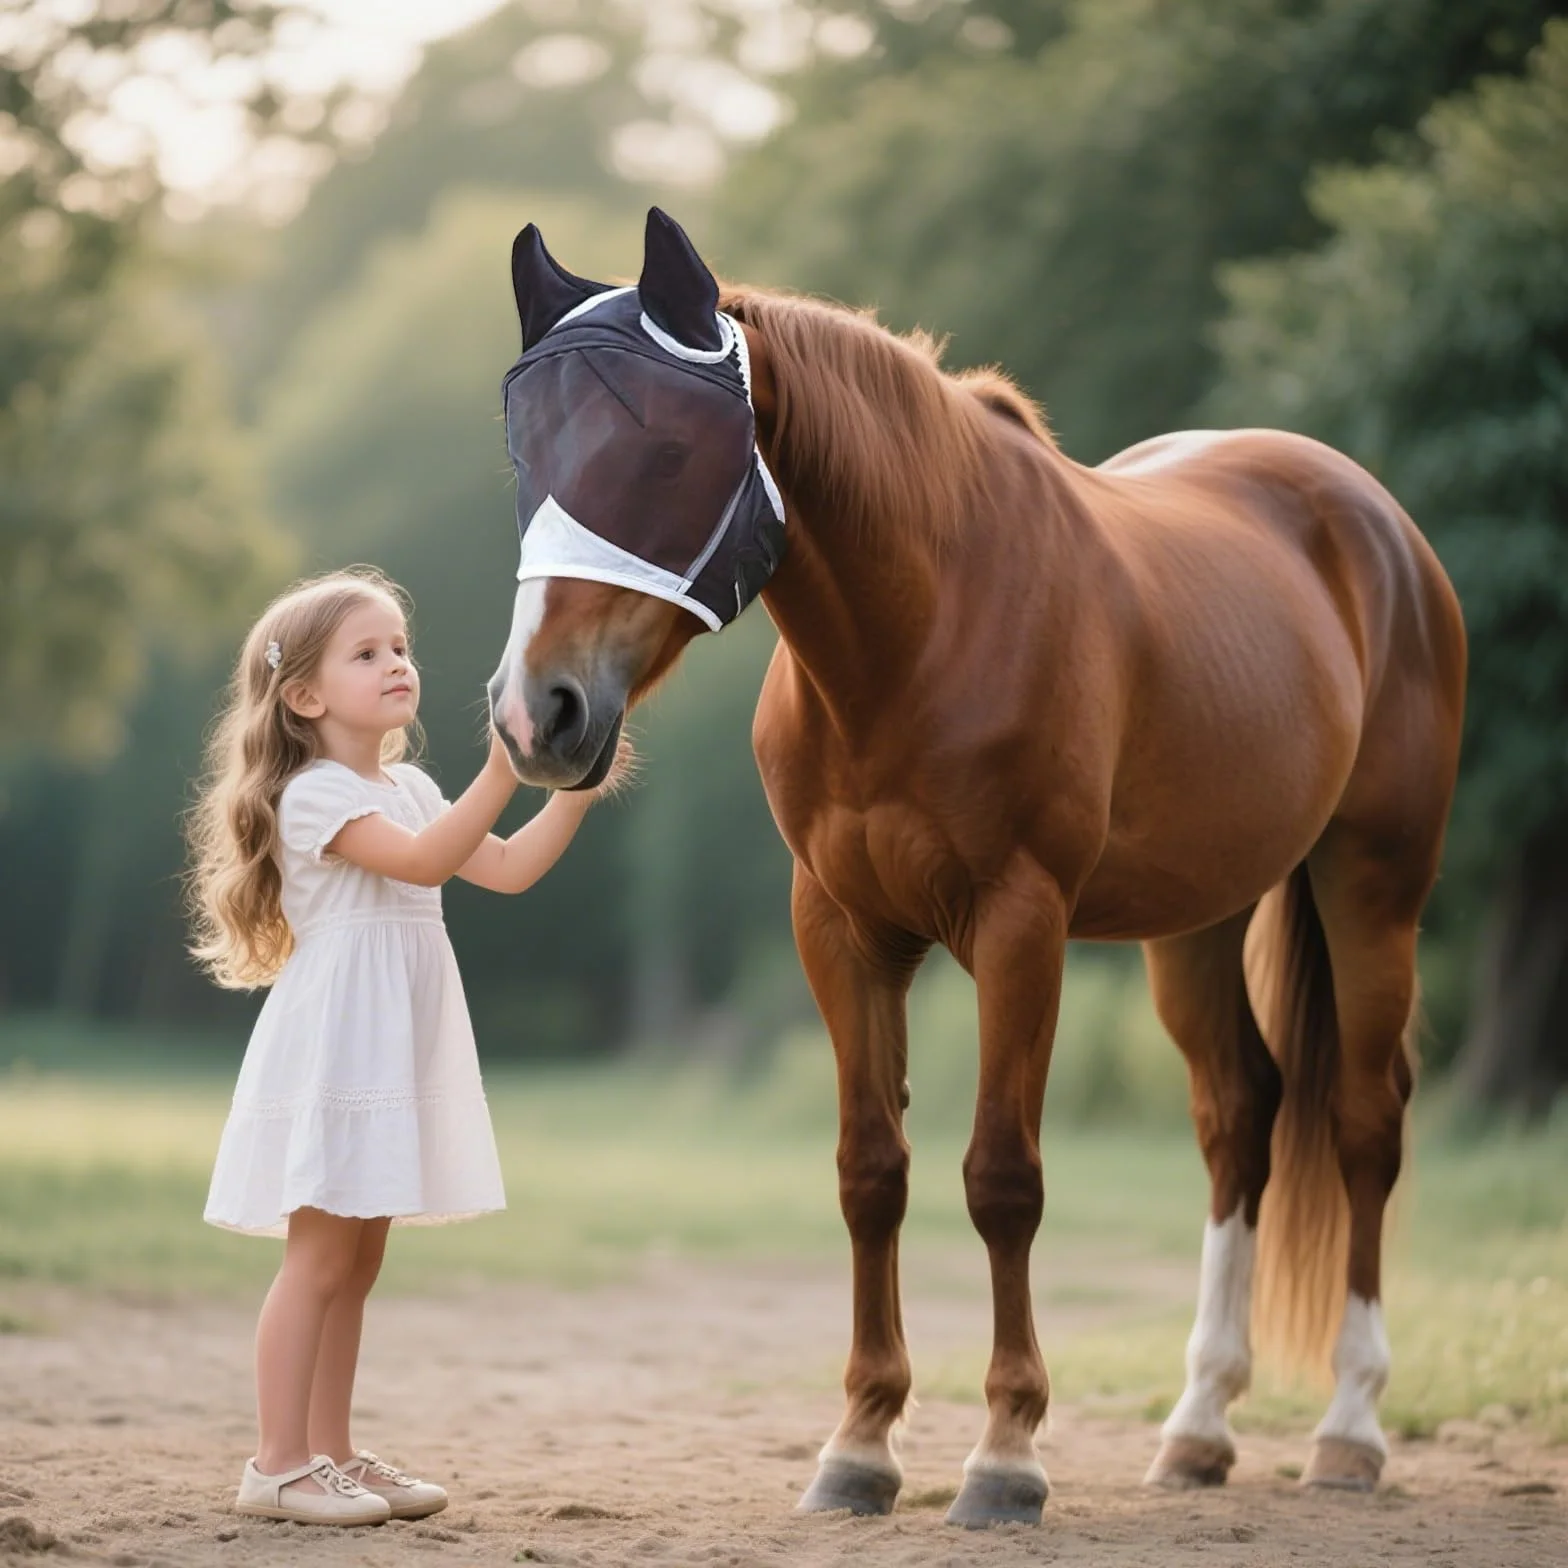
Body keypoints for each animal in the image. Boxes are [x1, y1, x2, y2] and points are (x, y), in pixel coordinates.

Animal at [487, 208, 1466, 1528]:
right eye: (526, 460)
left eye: (666, 453)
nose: (537, 713)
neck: (922, 630)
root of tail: (1372, 522)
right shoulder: (839, 928)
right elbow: (869, 1173)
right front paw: (857, 1445)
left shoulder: (1018, 925)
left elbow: (1000, 1178)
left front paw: (1004, 1455)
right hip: (1194, 922)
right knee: (1237, 1117)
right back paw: (1197, 1426)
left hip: (1372, 886)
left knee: (1363, 1121)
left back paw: (1348, 1428)